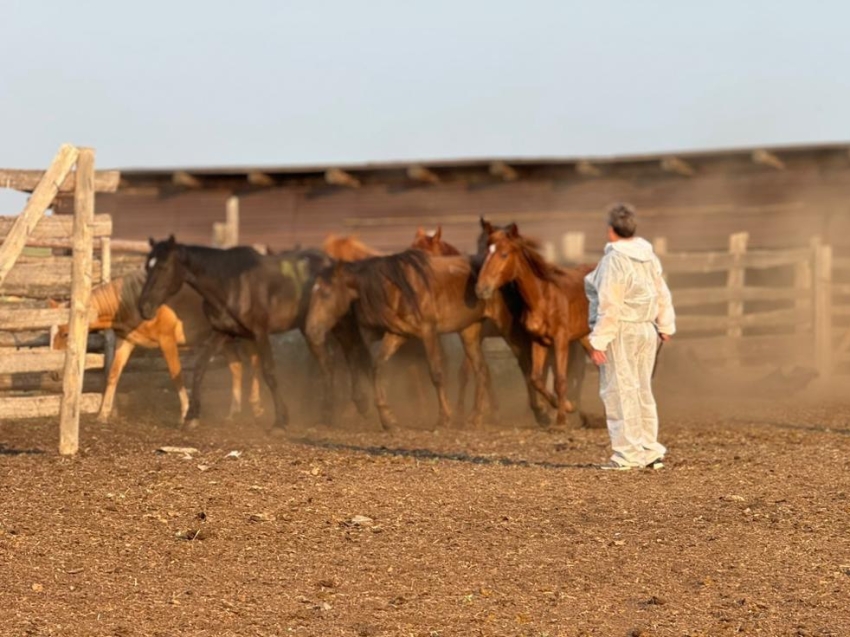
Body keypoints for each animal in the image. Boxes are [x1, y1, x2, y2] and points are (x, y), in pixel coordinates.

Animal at [50, 270, 262, 424]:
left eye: (66, 334)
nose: (55, 374)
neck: (133, 302)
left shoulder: (167, 341)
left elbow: (176, 375)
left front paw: (185, 412)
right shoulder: (126, 342)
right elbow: (113, 375)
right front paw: (103, 414)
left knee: (255, 362)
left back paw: (256, 405)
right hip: (226, 341)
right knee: (237, 367)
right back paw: (233, 412)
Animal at [136, 237, 368, 428]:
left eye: (164, 266)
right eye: (147, 266)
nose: (144, 307)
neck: (229, 284)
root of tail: (334, 263)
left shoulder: (260, 333)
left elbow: (269, 373)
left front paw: (280, 420)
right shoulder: (223, 332)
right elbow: (200, 367)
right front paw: (192, 417)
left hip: (338, 324)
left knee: (347, 356)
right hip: (313, 328)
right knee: (331, 363)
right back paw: (333, 413)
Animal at [474, 221, 592, 424]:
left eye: (504, 254)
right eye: (486, 252)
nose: (482, 288)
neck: (543, 297)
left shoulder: (561, 340)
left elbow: (560, 380)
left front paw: (561, 420)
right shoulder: (539, 340)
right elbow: (536, 378)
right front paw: (565, 407)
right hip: (585, 338)